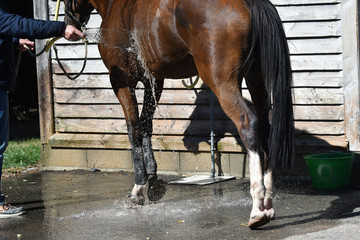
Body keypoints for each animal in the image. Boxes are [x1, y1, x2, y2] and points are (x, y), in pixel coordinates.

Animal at [64, 0, 296, 230]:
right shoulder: (154, 80)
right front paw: (154, 185)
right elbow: (146, 126)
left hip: (224, 84)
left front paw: (137, 191)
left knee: (248, 124)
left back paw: (257, 207)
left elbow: (134, 130)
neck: (116, 6)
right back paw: (268, 203)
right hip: (257, 80)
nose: (70, 25)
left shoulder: (122, 81)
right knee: (266, 128)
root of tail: (251, 3)